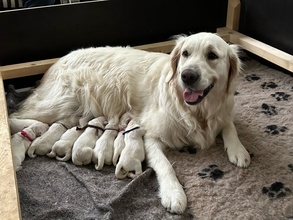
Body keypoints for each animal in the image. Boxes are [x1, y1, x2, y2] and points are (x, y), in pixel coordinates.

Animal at [9, 32, 251, 213]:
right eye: (185, 54)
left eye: (212, 55)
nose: (187, 75)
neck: (197, 112)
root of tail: (55, 63)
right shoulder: (151, 136)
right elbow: (165, 165)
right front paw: (174, 194)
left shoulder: (222, 111)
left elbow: (229, 126)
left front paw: (239, 150)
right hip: (62, 101)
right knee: (16, 115)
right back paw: (32, 129)